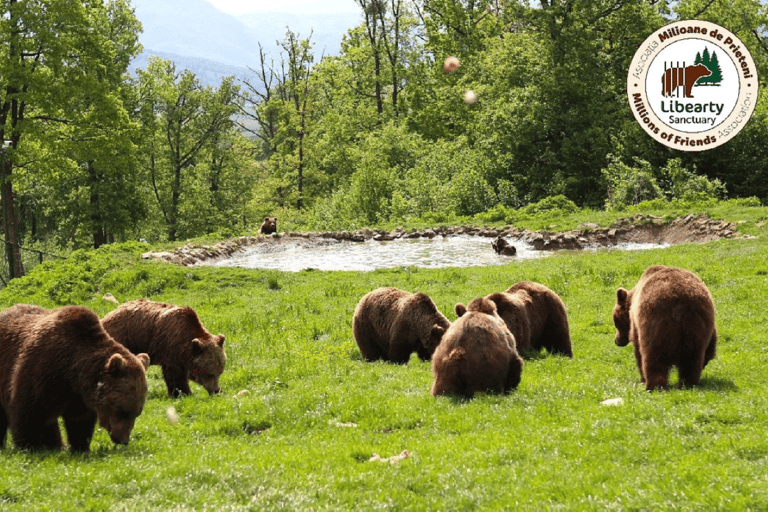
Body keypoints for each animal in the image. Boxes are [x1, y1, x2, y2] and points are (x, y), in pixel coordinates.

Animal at [0, 304, 150, 453]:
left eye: (137, 412)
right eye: (122, 411)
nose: (123, 440)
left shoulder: (79, 396)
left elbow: (79, 421)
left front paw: (80, 447)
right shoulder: (40, 369)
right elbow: (28, 410)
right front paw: (29, 446)